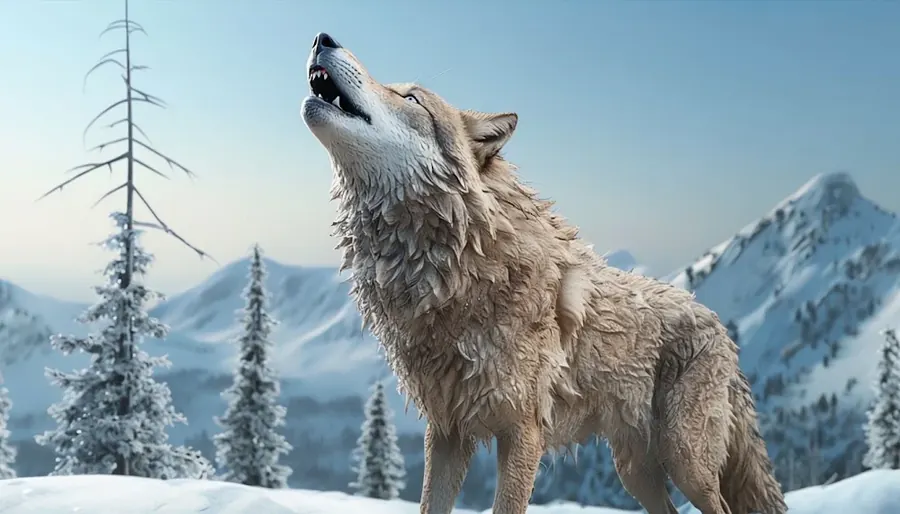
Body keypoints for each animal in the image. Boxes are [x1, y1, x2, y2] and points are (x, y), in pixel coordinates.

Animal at [300, 32, 787, 514]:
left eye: (411, 98)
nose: (323, 37)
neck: (461, 272)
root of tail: (717, 322)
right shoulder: (447, 431)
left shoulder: (522, 432)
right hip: (635, 472)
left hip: (685, 462)